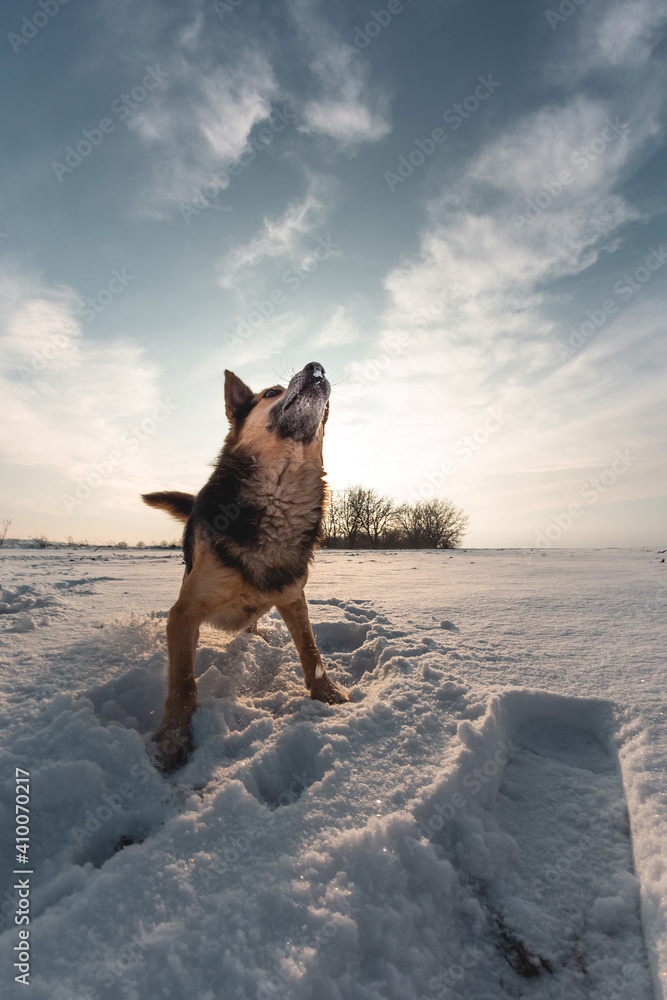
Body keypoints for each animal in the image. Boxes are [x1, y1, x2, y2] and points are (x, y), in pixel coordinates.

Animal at [142, 362, 350, 772]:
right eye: (271, 393)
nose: (316, 367)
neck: (279, 495)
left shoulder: (293, 598)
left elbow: (311, 651)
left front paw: (328, 694)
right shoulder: (184, 612)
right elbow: (184, 684)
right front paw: (174, 738)